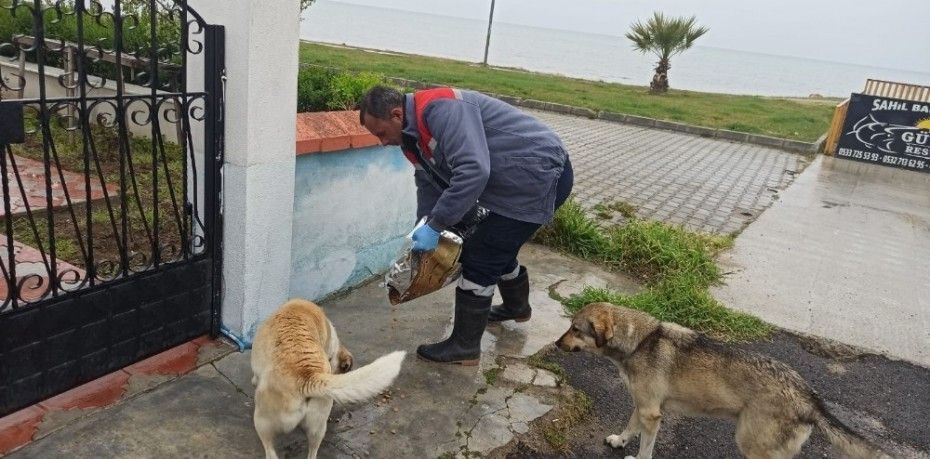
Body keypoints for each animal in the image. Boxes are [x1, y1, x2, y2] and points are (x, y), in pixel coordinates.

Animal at [250, 298, 406, 459]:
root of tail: (308, 377)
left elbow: (255, 377)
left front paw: (254, 381)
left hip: (263, 422)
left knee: (270, 450)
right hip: (318, 428)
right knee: (312, 452)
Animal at [556, 302, 888, 459]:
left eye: (575, 329)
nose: (557, 344)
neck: (639, 341)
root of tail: (809, 397)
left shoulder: (652, 414)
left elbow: (646, 447)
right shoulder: (643, 406)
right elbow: (630, 425)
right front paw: (620, 440)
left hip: (751, 443)